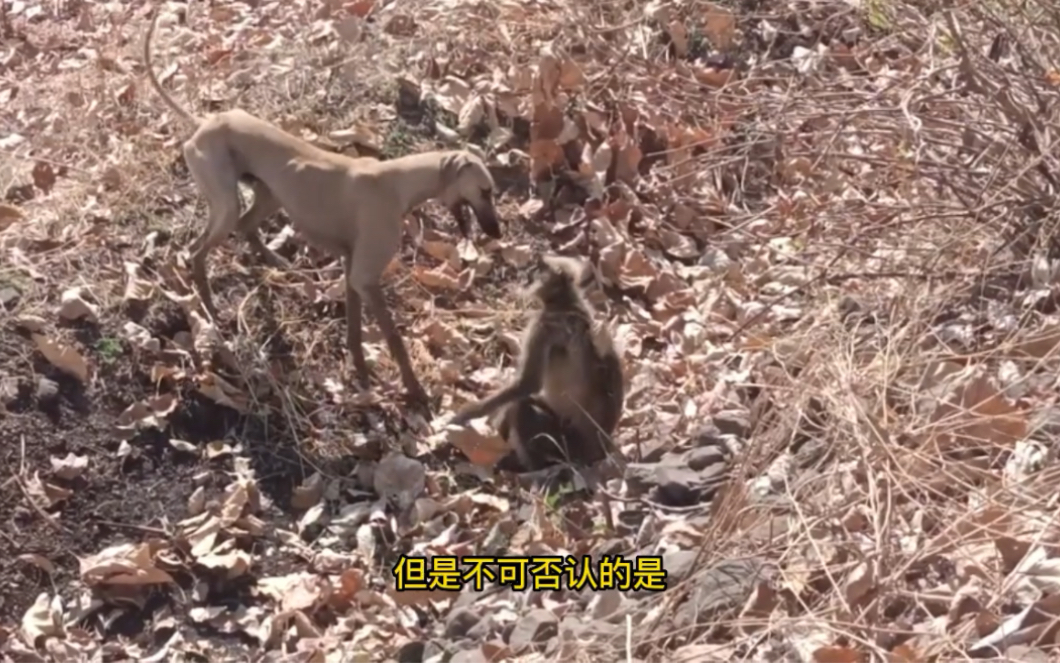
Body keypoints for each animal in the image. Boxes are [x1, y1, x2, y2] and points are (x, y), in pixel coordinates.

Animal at [143, 6, 502, 409]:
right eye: (485, 191)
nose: (497, 232)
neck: (395, 181)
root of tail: (204, 122)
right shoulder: (365, 276)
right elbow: (394, 340)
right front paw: (413, 390)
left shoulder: (351, 270)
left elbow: (355, 333)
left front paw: (361, 374)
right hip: (225, 204)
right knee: (196, 250)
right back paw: (209, 308)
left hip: (267, 197)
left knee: (246, 226)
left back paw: (271, 261)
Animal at [451, 252, 623, 470]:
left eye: (539, 269)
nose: (526, 274)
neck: (565, 302)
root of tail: (597, 451)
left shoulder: (542, 326)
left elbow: (527, 384)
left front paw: (463, 416)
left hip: (563, 443)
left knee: (520, 405)